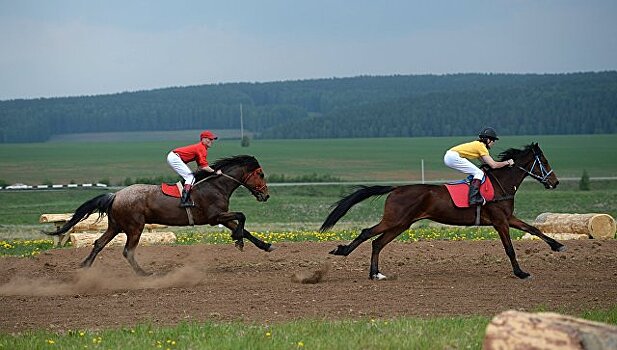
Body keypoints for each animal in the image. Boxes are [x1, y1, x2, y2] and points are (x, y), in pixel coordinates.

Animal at [45, 154, 272, 274]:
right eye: (261, 174)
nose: (266, 195)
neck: (216, 184)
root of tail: (116, 195)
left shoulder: (221, 216)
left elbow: (244, 228)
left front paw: (263, 245)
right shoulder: (215, 217)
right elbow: (241, 216)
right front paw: (238, 239)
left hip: (116, 226)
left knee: (99, 243)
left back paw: (85, 267)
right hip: (135, 227)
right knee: (127, 251)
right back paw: (144, 274)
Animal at [320, 142, 564, 278]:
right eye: (544, 161)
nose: (555, 182)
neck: (500, 184)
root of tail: (397, 188)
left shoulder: (508, 217)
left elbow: (533, 228)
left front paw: (558, 245)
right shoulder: (500, 222)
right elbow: (510, 249)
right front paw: (520, 273)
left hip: (402, 224)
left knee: (377, 242)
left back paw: (375, 273)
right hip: (394, 220)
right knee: (367, 233)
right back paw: (343, 251)